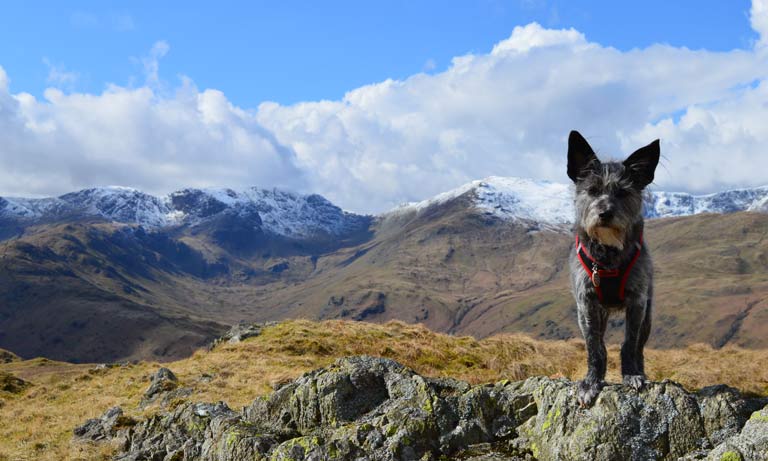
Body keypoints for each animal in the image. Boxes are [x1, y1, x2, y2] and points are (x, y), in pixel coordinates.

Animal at [564, 130, 660, 406]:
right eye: (592, 190)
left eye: (623, 193)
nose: (605, 213)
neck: (607, 255)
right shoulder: (586, 304)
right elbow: (594, 347)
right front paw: (591, 382)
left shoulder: (637, 303)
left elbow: (630, 344)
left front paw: (632, 375)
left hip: (648, 315)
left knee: (639, 347)